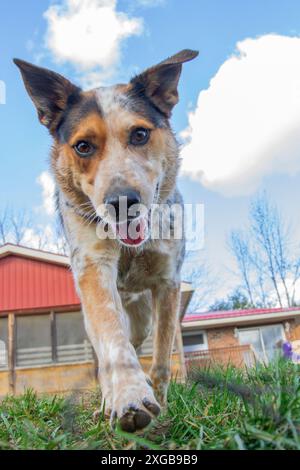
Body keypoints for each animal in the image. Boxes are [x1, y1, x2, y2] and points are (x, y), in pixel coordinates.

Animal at [15, 49, 200, 432]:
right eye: (83, 146)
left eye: (140, 134)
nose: (121, 202)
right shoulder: (93, 268)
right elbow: (113, 341)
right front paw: (129, 397)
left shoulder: (168, 282)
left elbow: (162, 357)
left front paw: (159, 401)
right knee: (107, 348)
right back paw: (108, 399)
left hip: (142, 315)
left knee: (139, 338)